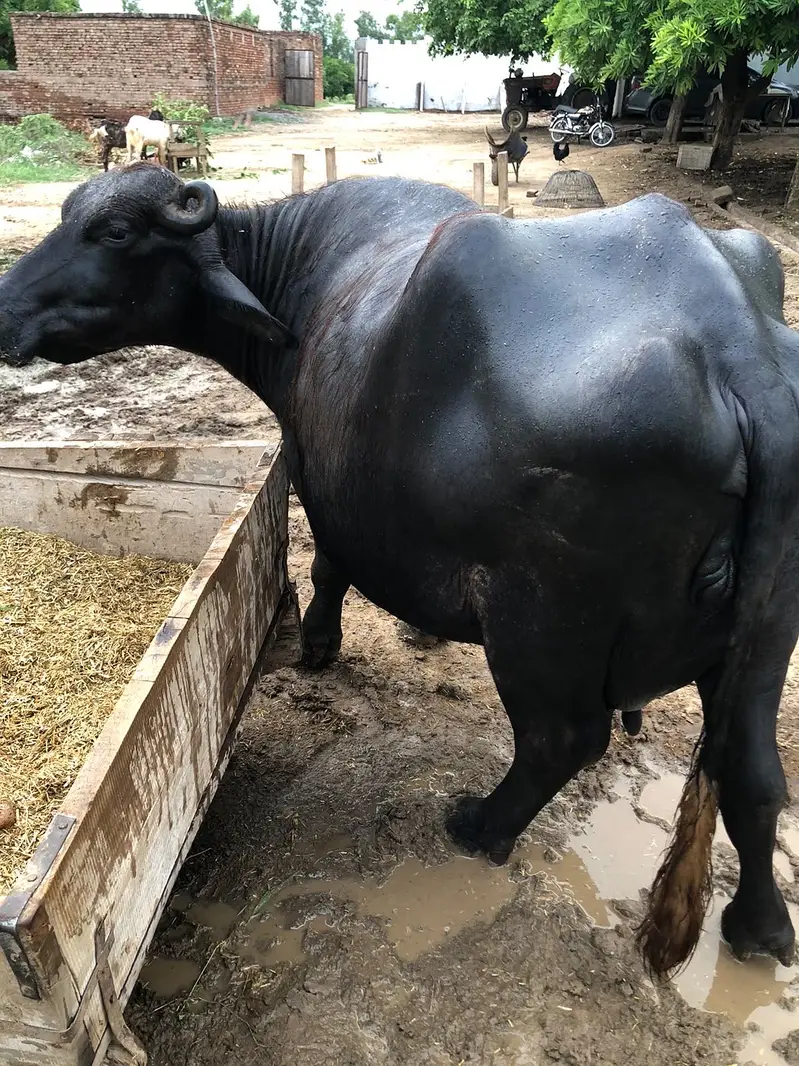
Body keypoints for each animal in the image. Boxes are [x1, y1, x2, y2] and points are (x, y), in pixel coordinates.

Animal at [1, 165, 798, 978]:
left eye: (114, 232)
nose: (5, 310)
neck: (302, 276)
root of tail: (739, 350)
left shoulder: (316, 477)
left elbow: (328, 566)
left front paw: (319, 645)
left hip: (541, 619)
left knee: (562, 739)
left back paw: (479, 824)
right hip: (768, 628)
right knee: (753, 772)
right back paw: (758, 925)